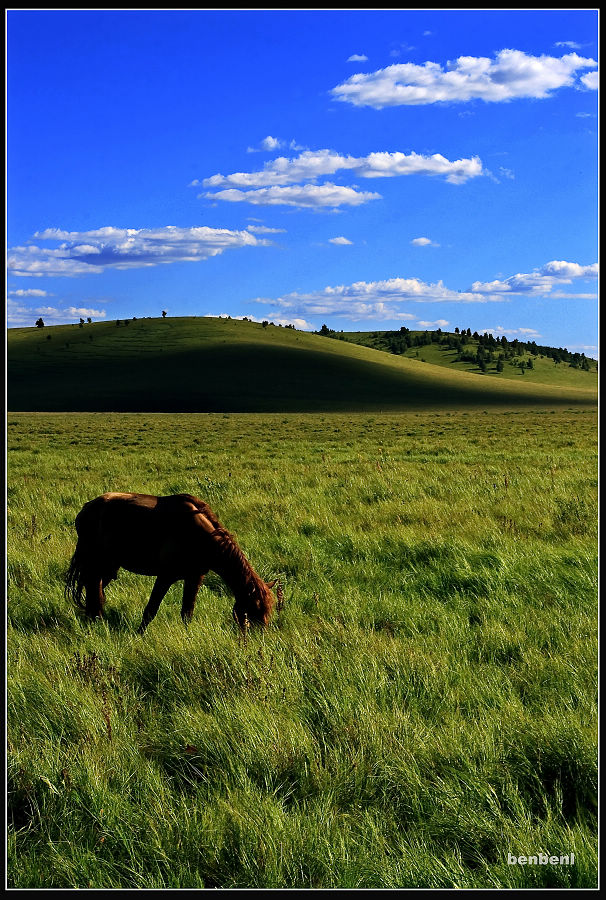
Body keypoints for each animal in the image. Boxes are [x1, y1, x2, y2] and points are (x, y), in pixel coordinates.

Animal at [64, 492, 280, 632]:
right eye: (254, 609)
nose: (260, 636)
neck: (200, 536)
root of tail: (86, 509)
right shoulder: (165, 576)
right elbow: (150, 610)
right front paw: (139, 635)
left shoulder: (194, 577)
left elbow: (187, 612)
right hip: (97, 564)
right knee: (93, 589)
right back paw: (95, 620)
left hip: (108, 566)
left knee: (96, 591)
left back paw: (94, 618)